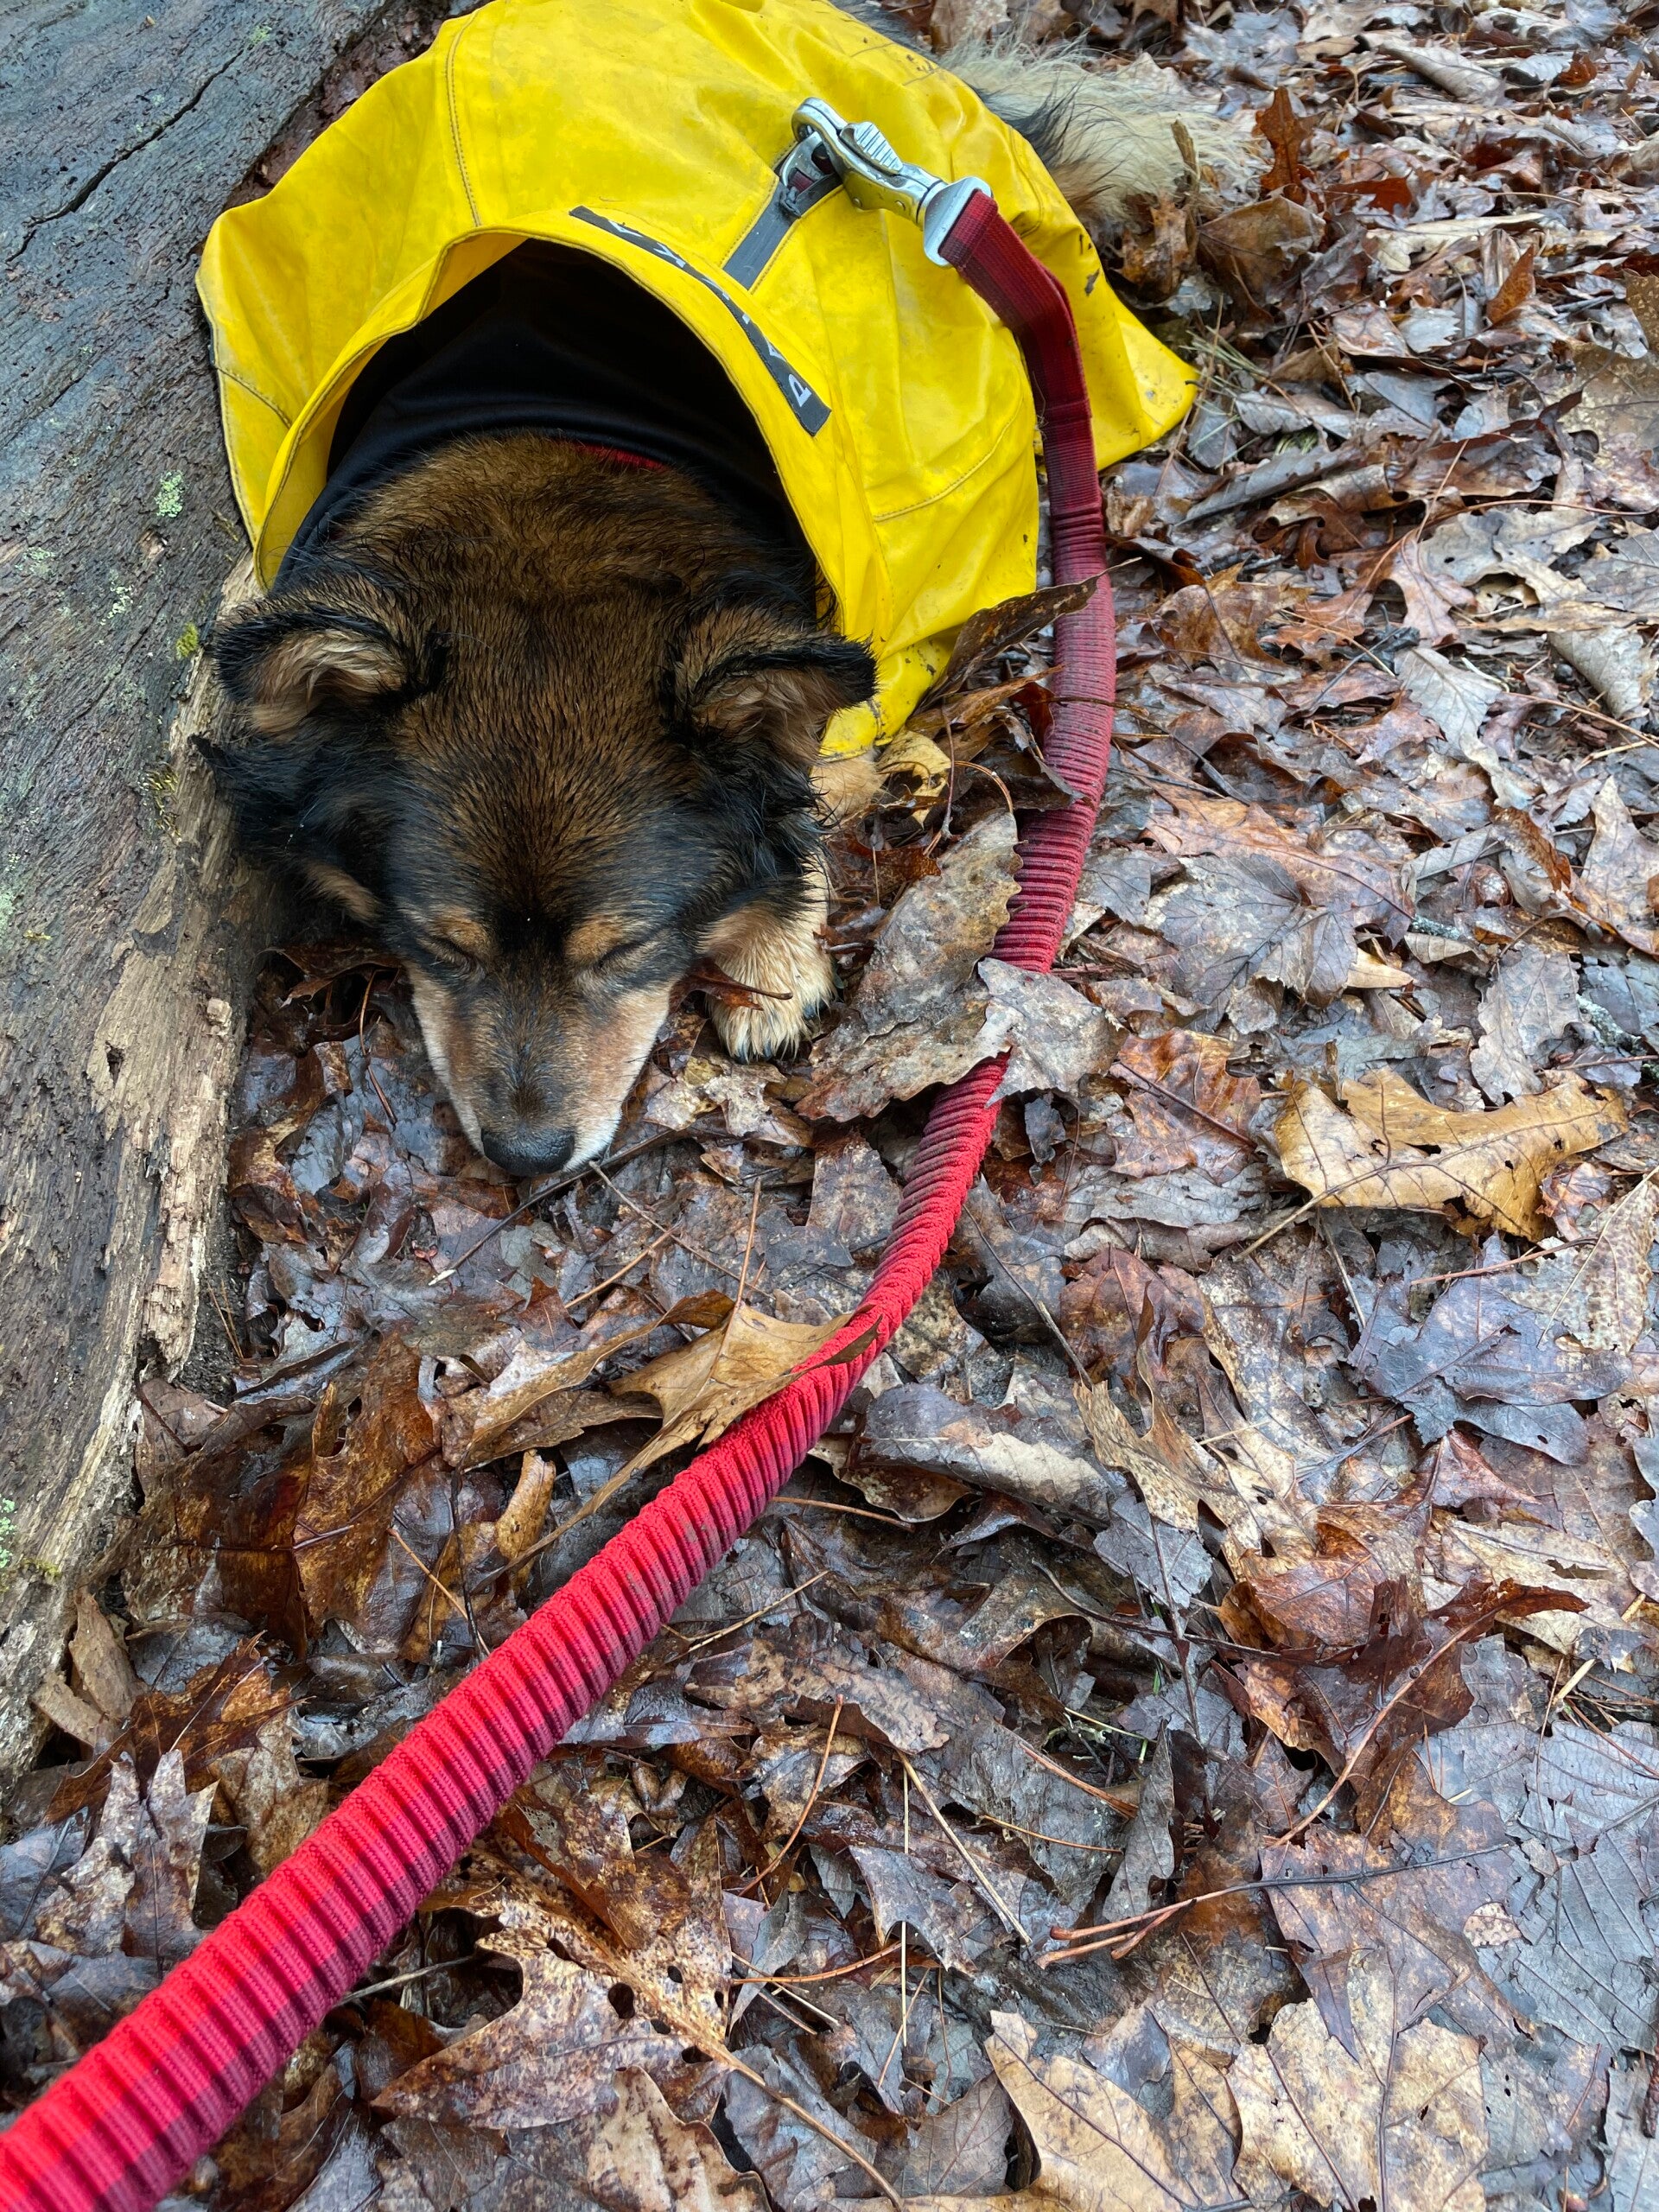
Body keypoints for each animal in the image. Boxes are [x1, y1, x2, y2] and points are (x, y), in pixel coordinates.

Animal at [206, 5, 1213, 1179]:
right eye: (440, 945)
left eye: (629, 949)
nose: (527, 1156)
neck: (563, 457)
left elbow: (811, 780)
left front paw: (775, 956)